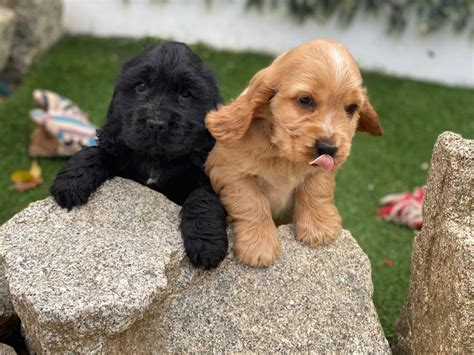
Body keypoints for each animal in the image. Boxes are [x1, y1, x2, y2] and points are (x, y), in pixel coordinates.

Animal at [51, 42, 229, 270]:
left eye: (185, 94)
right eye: (141, 86)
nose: (156, 124)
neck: (156, 158)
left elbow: (203, 196)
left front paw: (206, 243)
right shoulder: (119, 147)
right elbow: (97, 151)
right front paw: (70, 183)